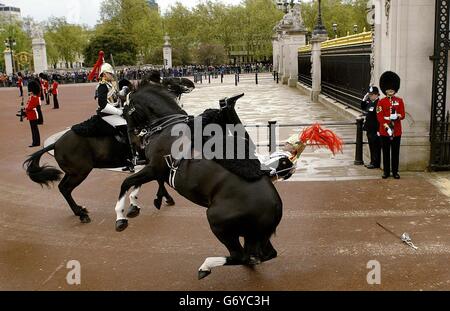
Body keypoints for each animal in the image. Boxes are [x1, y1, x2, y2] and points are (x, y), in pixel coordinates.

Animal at [113, 84, 282, 280]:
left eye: (125, 112)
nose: (133, 145)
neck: (167, 127)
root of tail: (276, 206)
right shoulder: (154, 169)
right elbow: (137, 183)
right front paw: (136, 205)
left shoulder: (154, 168)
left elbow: (126, 182)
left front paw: (121, 217)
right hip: (255, 236)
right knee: (261, 255)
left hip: (217, 221)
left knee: (240, 256)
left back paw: (206, 266)